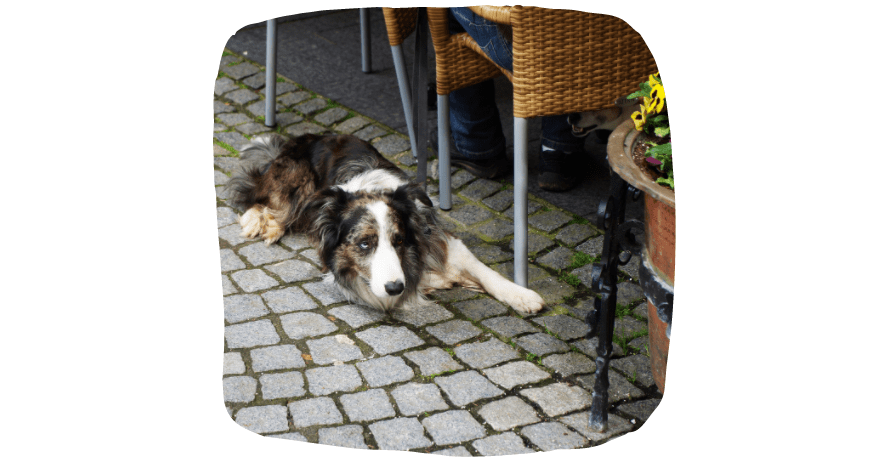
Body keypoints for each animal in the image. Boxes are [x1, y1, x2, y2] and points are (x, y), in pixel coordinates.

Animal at [225, 133, 544, 314]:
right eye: (364, 244)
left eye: (399, 240)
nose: (394, 287)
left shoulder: (443, 240)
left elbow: (486, 272)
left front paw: (522, 296)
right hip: (297, 183)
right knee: (259, 197)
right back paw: (262, 223)